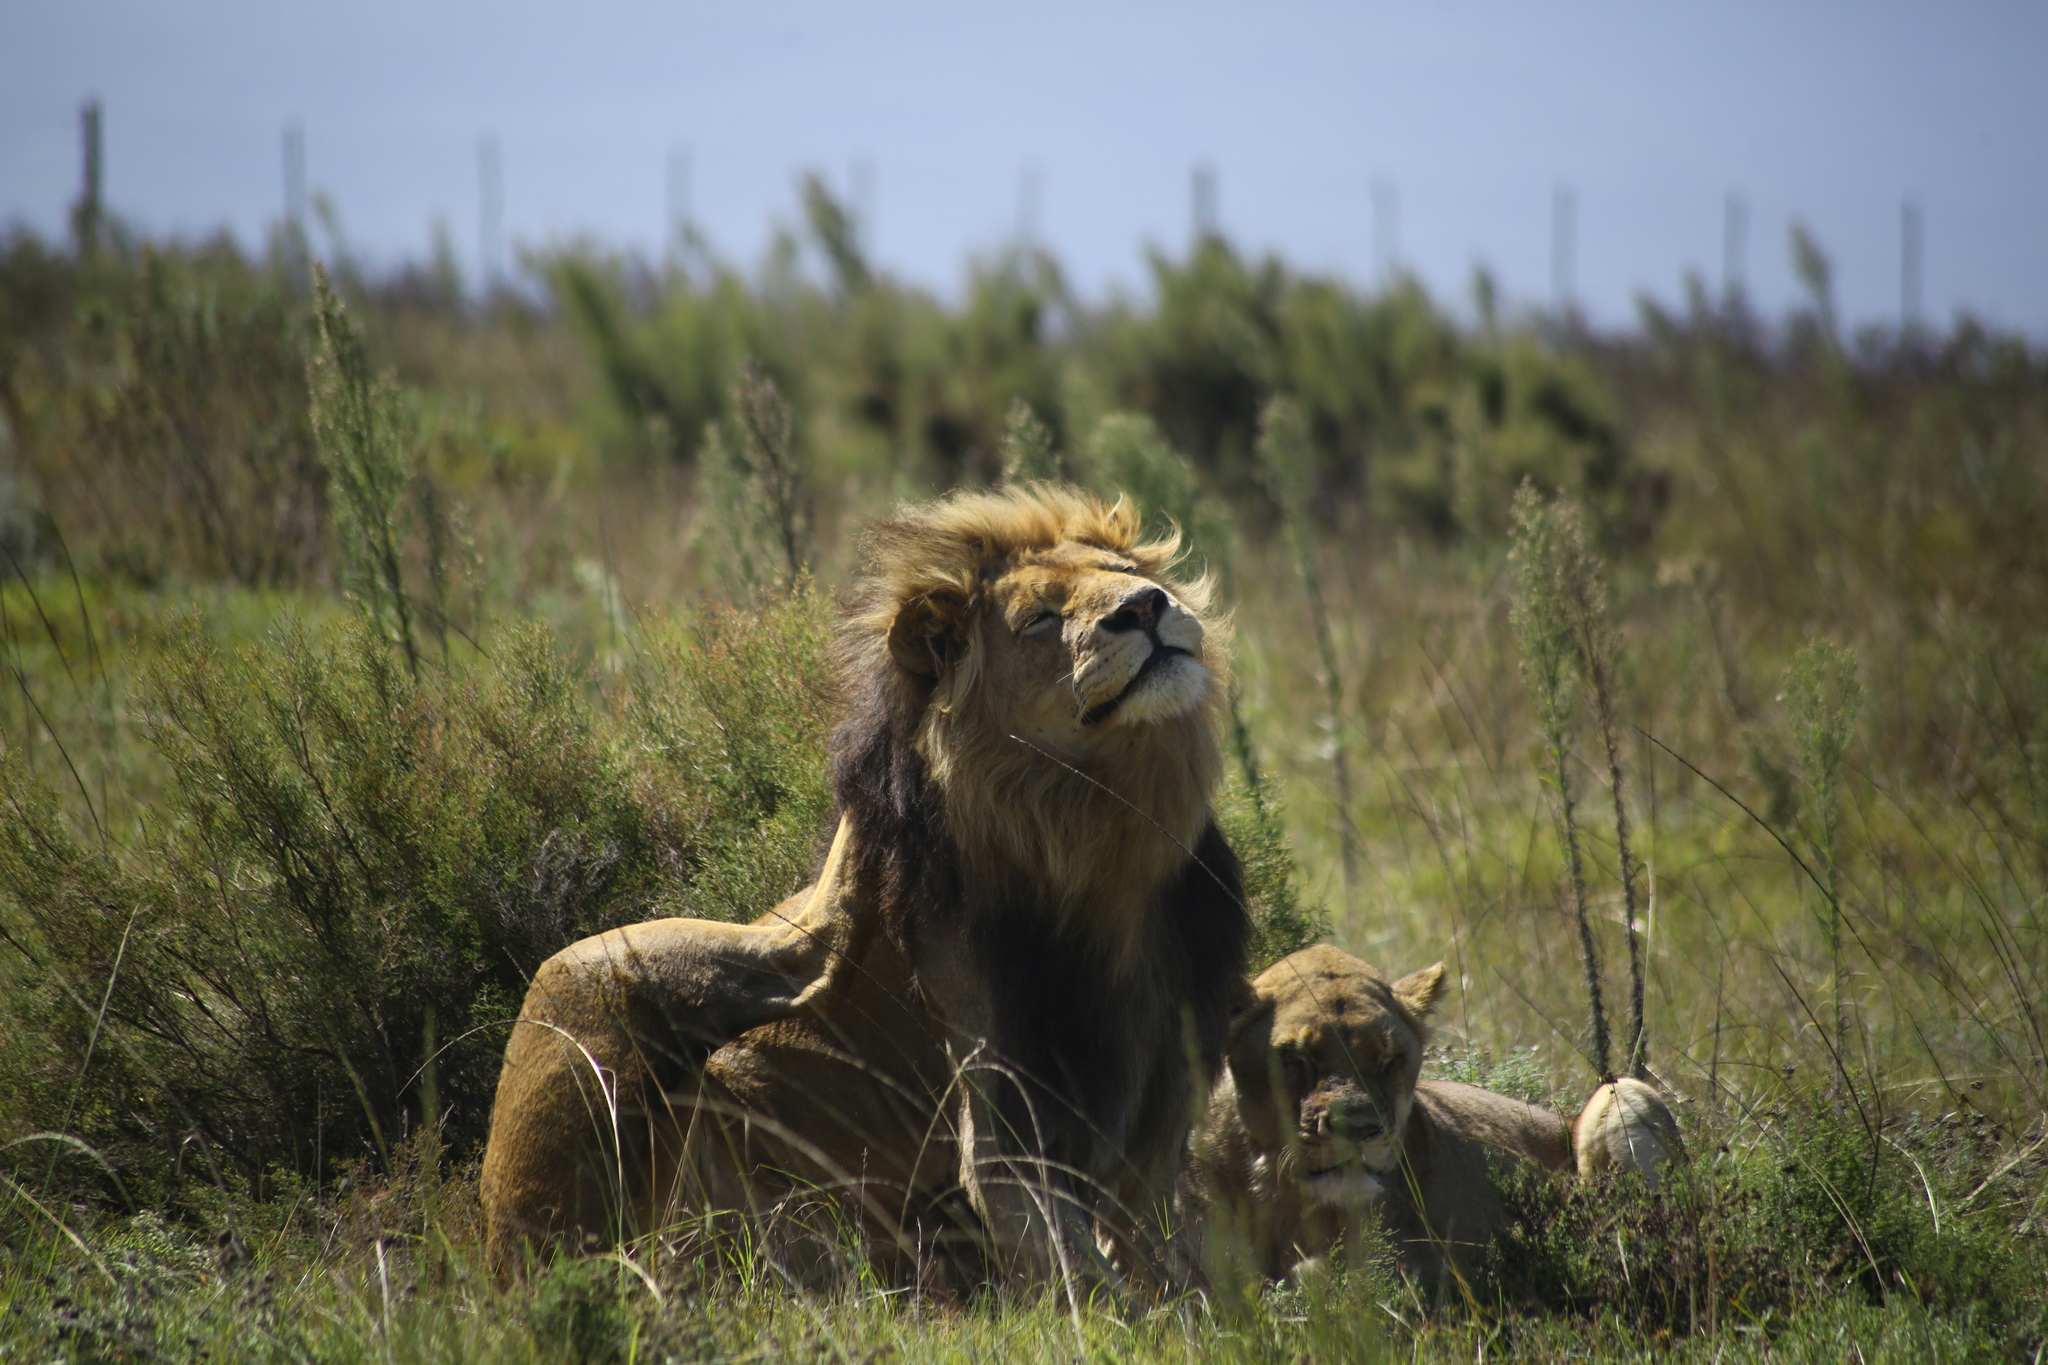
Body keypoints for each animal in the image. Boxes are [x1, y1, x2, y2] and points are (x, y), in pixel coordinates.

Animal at [479, 485, 1245, 1285]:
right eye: (1039, 618)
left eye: (1123, 571)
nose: (1147, 606)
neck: (1102, 835)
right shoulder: (1000, 1119)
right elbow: (1085, 1272)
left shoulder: (1166, 1098)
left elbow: (1162, 1244)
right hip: (584, 974)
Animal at [1196, 945, 1687, 1285]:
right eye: (1295, 1058)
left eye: (1390, 1059)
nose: (1360, 1129)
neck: (1284, 1198)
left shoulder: (1424, 1267)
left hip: (1622, 1090)